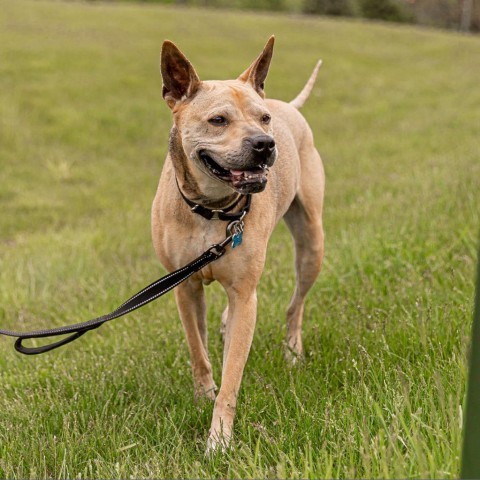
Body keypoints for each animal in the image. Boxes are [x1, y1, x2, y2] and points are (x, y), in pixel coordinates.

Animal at [152, 36, 324, 450]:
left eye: (263, 118)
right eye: (218, 120)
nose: (265, 143)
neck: (212, 210)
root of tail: (287, 105)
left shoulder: (246, 295)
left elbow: (233, 374)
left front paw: (219, 440)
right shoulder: (184, 286)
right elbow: (198, 350)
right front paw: (202, 396)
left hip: (312, 244)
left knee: (296, 304)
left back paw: (292, 350)